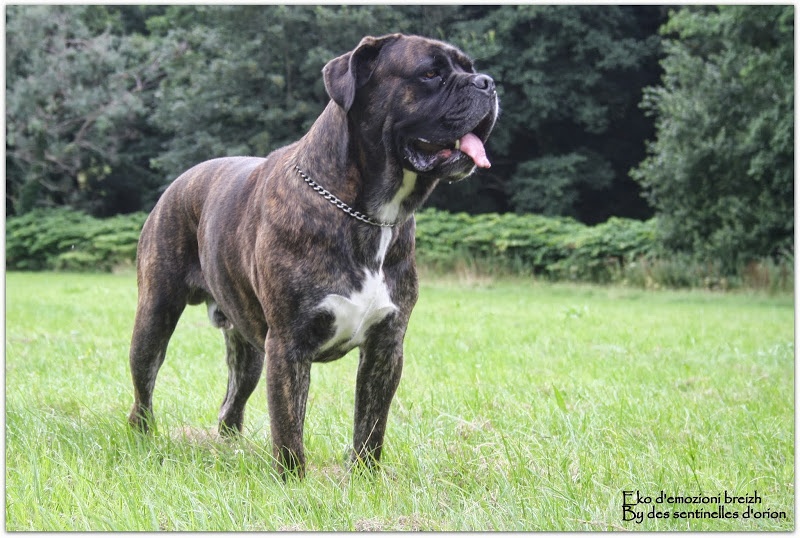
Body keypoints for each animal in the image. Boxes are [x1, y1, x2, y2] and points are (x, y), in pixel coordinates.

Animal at [128, 33, 498, 478]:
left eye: (469, 67)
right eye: (430, 73)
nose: (487, 82)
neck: (369, 213)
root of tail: (179, 181)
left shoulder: (386, 346)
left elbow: (371, 425)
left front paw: (365, 479)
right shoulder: (289, 345)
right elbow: (289, 425)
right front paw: (292, 481)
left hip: (250, 352)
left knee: (231, 404)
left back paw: (229, 449)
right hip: (155, 317)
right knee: (144, 388)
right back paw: (144, 439)